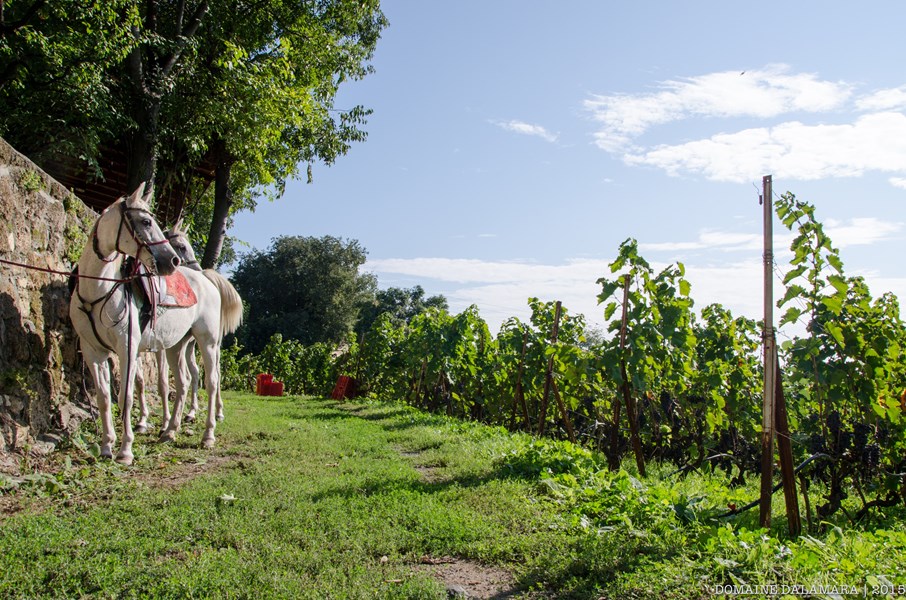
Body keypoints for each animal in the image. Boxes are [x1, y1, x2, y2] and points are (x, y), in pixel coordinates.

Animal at [70, 184, 242, 464]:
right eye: (146, 221)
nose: (171, 261)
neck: (99, 291)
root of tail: (206, 280)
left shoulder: (128, 348)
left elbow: (128, 395)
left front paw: (126, 449)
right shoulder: (93, 351)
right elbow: (105, 397)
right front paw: (107, 445)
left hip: (207, 343)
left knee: (211, 381)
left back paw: (208, 433)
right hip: (176, 346)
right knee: (183, 382)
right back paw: (171, 430)